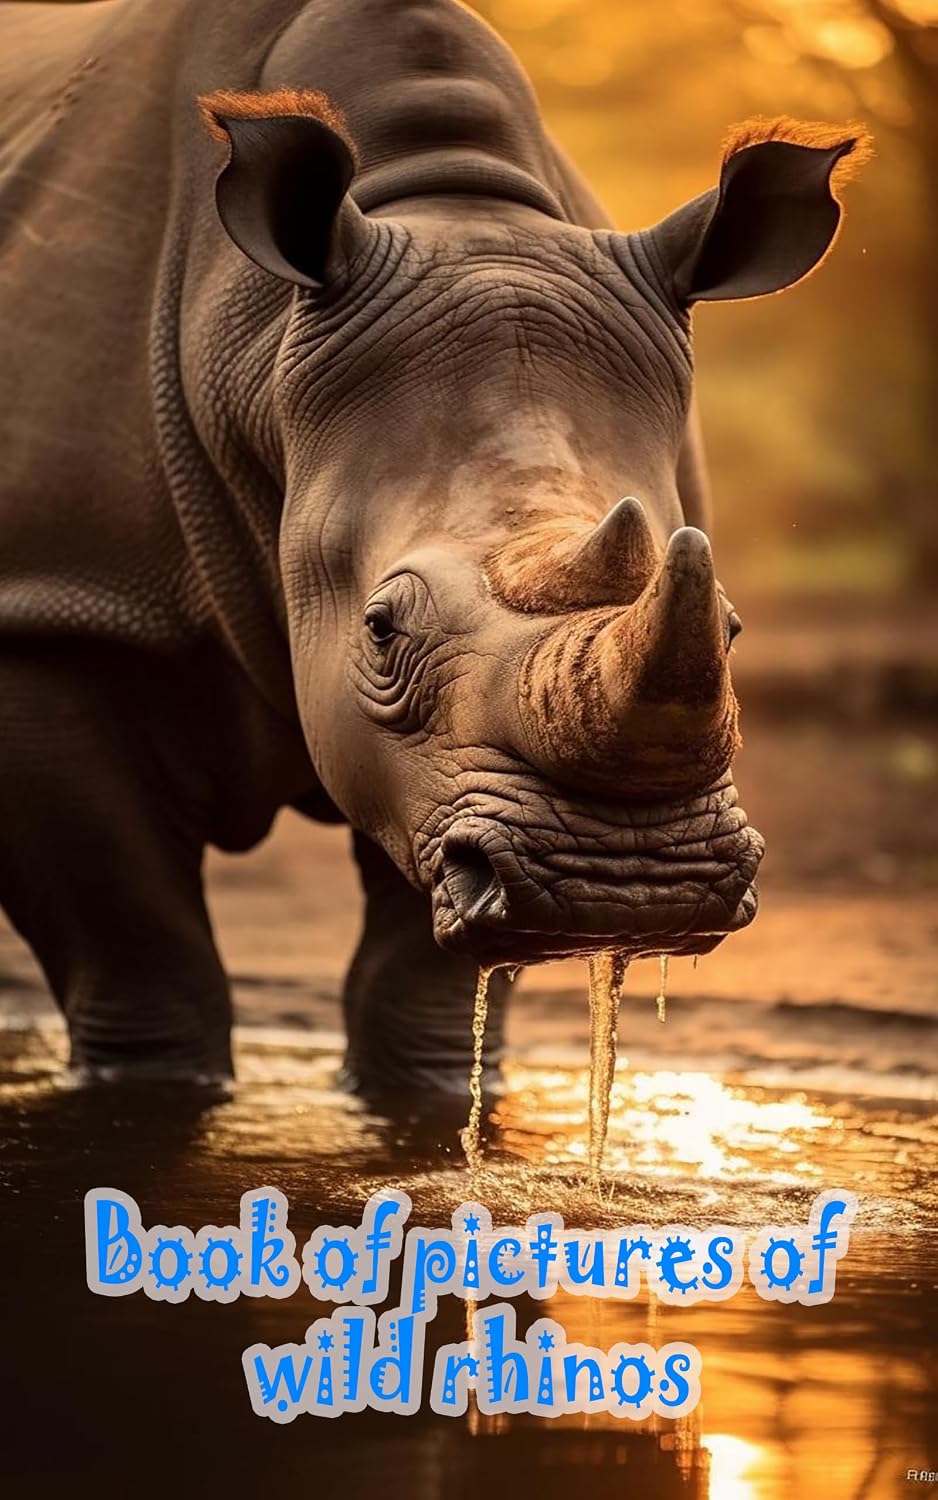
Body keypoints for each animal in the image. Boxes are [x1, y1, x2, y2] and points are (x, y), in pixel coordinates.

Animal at [0, 0, 868, 1091]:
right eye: (379, 629)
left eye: (733, 626)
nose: (626, 886)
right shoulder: (57, 601)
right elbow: (140, 947)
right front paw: (150, 1094)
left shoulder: (453, 786)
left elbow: (417, 977)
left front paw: (424, 1094)